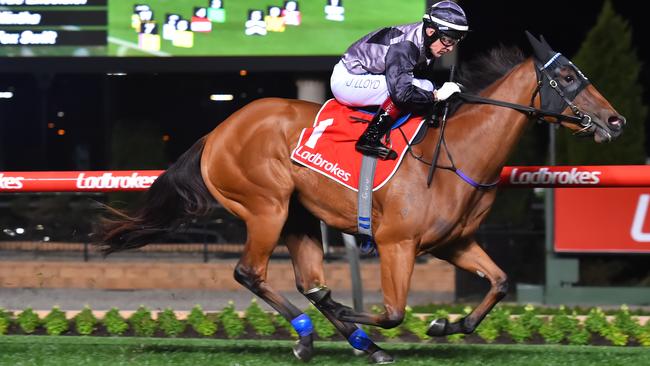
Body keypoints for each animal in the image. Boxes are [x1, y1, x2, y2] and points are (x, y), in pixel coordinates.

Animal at [96, 33, 624, 364]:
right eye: (569, 78)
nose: (616, 120)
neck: (456, 153)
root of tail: (220, 129)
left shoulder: (453, 243)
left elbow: (498, 283)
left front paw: (445, 326)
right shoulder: (396, 244)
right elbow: (393, 311)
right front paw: (359, 315)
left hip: (298, 216)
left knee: (307, 281)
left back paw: (352, 340)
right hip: (267, 206)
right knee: (251, 272)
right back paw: (315, 335)